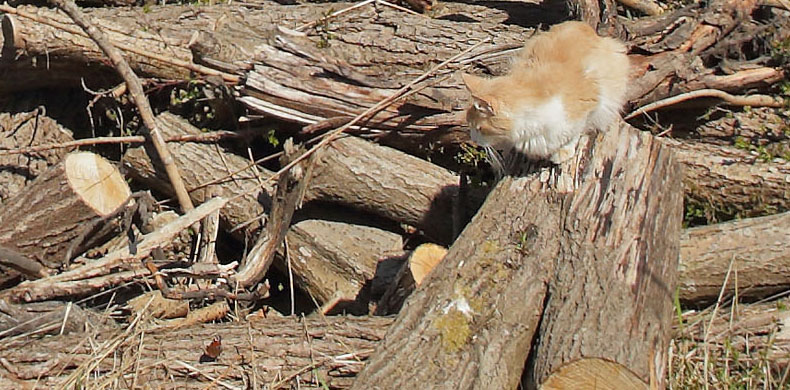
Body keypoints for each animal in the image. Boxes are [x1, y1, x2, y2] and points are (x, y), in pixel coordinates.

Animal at [464, 21, 632, 166]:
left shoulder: (588, 104)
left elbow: (575, 133)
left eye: (479, 129)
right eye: (469, 125)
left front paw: (563, 150)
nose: (473, 139)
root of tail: (581, 24)